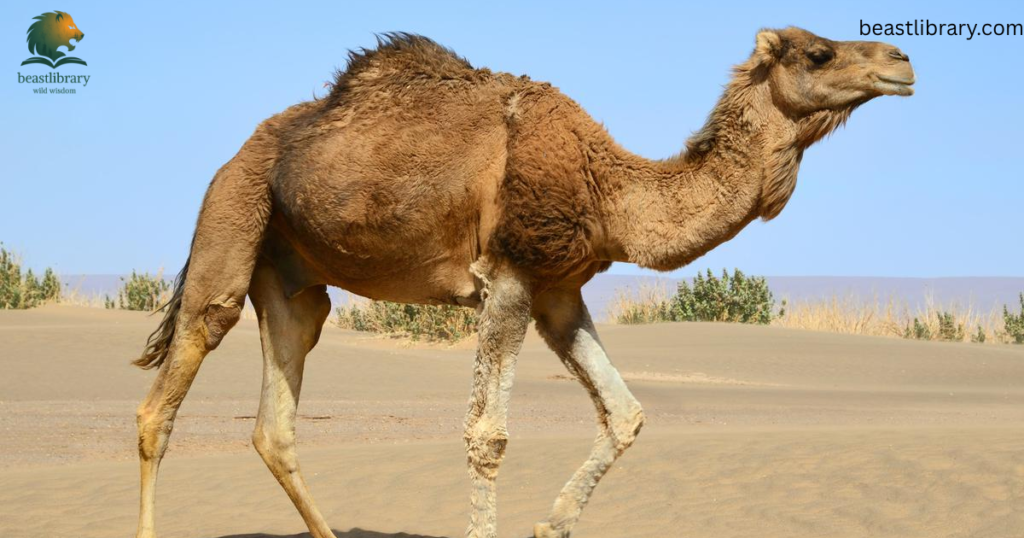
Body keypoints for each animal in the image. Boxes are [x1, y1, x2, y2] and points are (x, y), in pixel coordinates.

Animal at [133, 27, 914, 538]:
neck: (610, 190)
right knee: (166, 393)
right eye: (818, 52)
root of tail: (240, 152)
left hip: (294, 281)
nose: (903, 61)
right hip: (231, 217)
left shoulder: (558, 291)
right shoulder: (507, 276)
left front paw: (552, 523)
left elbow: (626, 413)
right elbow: (487, 436)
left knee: (275, 423)